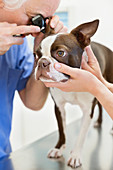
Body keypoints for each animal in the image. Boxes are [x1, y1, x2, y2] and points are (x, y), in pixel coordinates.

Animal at [34, 19, 113, 168]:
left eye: (60, 53)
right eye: (37, 55)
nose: (42, 62)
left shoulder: (87, 110)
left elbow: (81, 135)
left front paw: (75, 155)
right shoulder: (59, 107)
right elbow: (62, 130)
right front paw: (58, 148)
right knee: (100, 105)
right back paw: (99, 122)